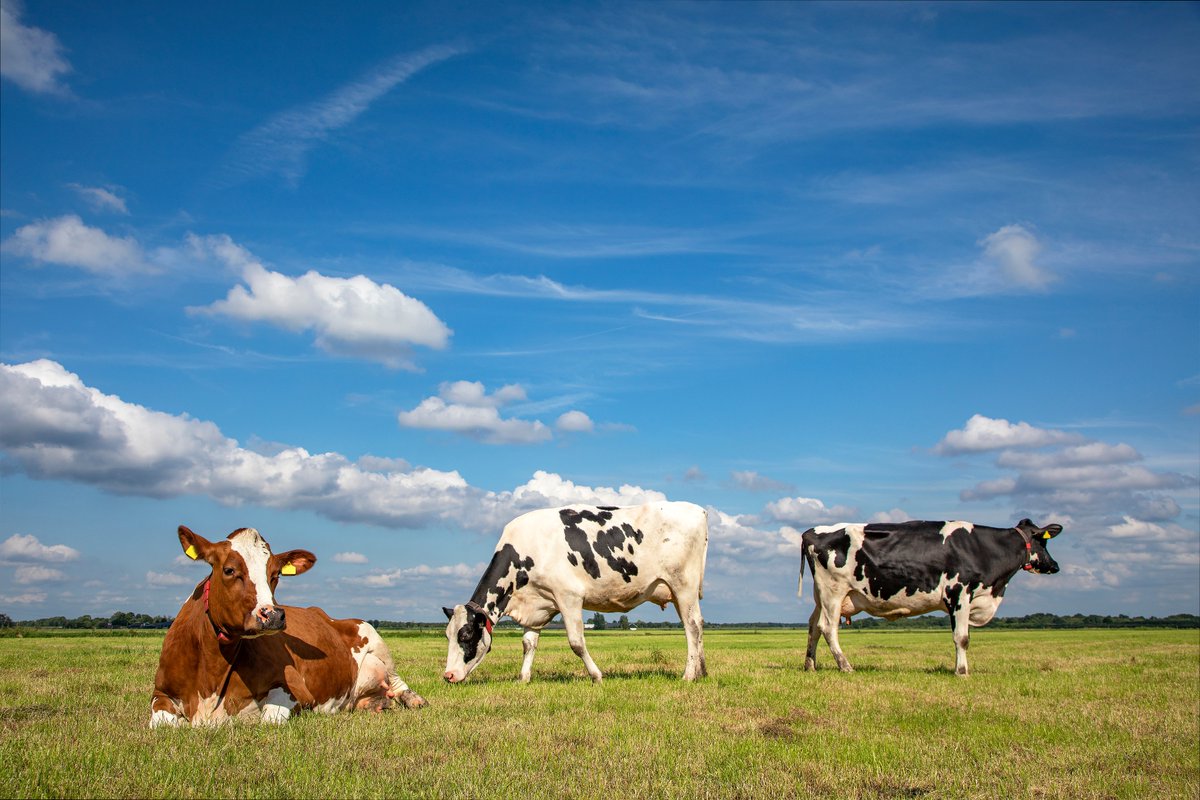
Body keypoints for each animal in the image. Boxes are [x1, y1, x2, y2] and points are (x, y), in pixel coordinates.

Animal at [152, 527, 427, 729]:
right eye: (229, 570)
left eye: (275, 575)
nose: (272, 614)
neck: (213, 669)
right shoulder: (160, 693)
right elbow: (163, 724)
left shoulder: (295, 690)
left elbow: (268, 721)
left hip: (375, 638)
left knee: (397, 682)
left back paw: (414, 699)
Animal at [441, 501, 705, 681]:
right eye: (447, 635)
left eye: (466, 635)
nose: (448, 675)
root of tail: (697, 510)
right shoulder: (538, 605)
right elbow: (528, 643)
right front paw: (523, 678)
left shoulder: (569, 597)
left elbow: (576, 642)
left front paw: (597, 676)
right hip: (680, 593)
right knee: (698, 624)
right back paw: (701, 671)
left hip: (684, 586)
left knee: (691, 627)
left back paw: (688, 675)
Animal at [801, 520, 1065, 676]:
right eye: (1043, 542)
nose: (1055, 565)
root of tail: (810, 531)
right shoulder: (959, 592)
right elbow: (962, 638)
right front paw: (961, 671)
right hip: (833, 591)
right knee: (828, 627)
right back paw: (846, 666)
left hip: (821, 595)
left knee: (813, 626)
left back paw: (810, 665)